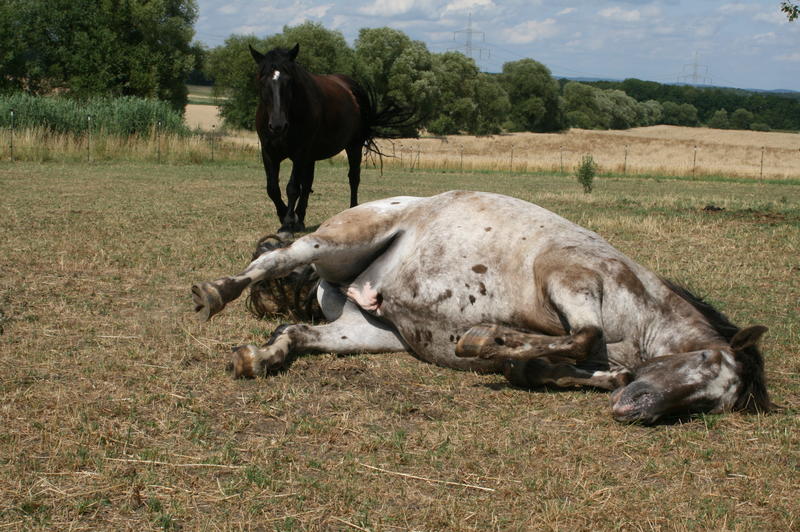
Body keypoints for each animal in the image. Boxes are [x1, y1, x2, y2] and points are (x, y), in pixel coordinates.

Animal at [191, 191, 772, 424]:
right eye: (703, 361)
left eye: (707, 405)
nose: (637, 410)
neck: (642, 316)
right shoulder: (569, 275)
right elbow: (582, 334)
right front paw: (483, 338)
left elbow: (553, 364)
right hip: (340, 239)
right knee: (277, 259)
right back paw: (215, 293)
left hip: (370, 332)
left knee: (297, 332)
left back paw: (259, 357)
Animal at [250, 44, 412, 236]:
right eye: (261, 80)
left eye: (289, 81)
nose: (277, 125)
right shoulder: (269, 153)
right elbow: (273, 189)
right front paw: (287, 218)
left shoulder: (299, 152)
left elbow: (292, 188)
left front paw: (287, 223)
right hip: (310, 156)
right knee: (307, 184)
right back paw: (300, 219)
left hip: (353, 146)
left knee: (353, 178)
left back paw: (351, 209)